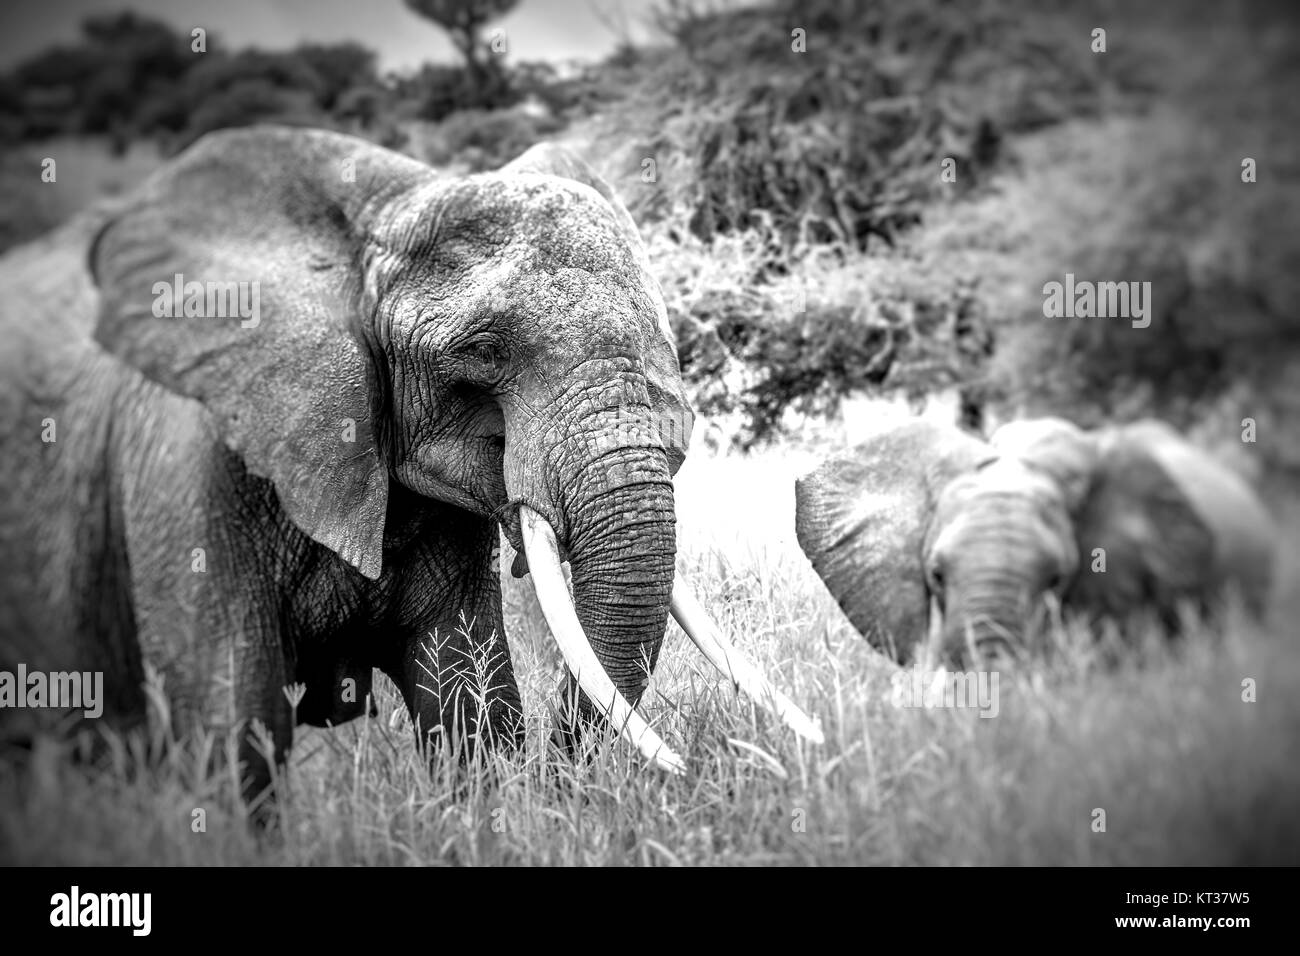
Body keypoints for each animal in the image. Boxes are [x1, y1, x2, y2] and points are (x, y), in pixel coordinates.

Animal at [0, 123, 816, 806]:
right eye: (482, 351)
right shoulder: (186, 463)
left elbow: (467, 704)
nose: (562, 787)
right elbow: (235, 726)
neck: (383, 211)